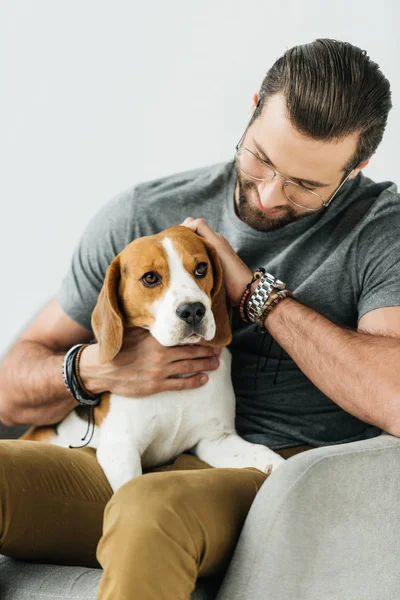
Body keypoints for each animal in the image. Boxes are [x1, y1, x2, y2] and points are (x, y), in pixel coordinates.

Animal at [22, 226, 284, 492]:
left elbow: (260, 451)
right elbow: (131, 486)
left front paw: (280, 468)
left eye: (201, 268)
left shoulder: (216, 439)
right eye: (150, 278)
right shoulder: (121, 450)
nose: (193, 310)